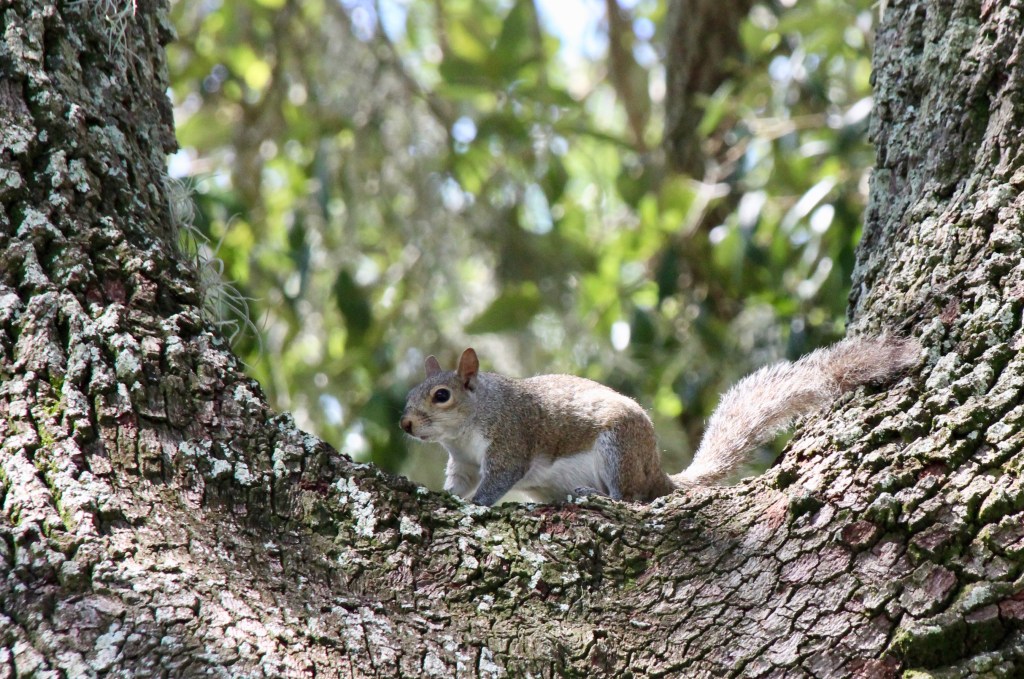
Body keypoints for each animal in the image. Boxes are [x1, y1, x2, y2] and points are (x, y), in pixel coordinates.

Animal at [400, 335, 920, 506]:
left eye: (441, 396)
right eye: (409, 395)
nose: (405, 425)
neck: (468, 428)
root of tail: (656, 473)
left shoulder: (510, 439)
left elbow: (498, 479)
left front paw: (477, 505)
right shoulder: (463, 462)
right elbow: (458, 483)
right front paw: (449, 498)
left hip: (617, 451)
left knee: (630, 498)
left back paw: (599, 497)